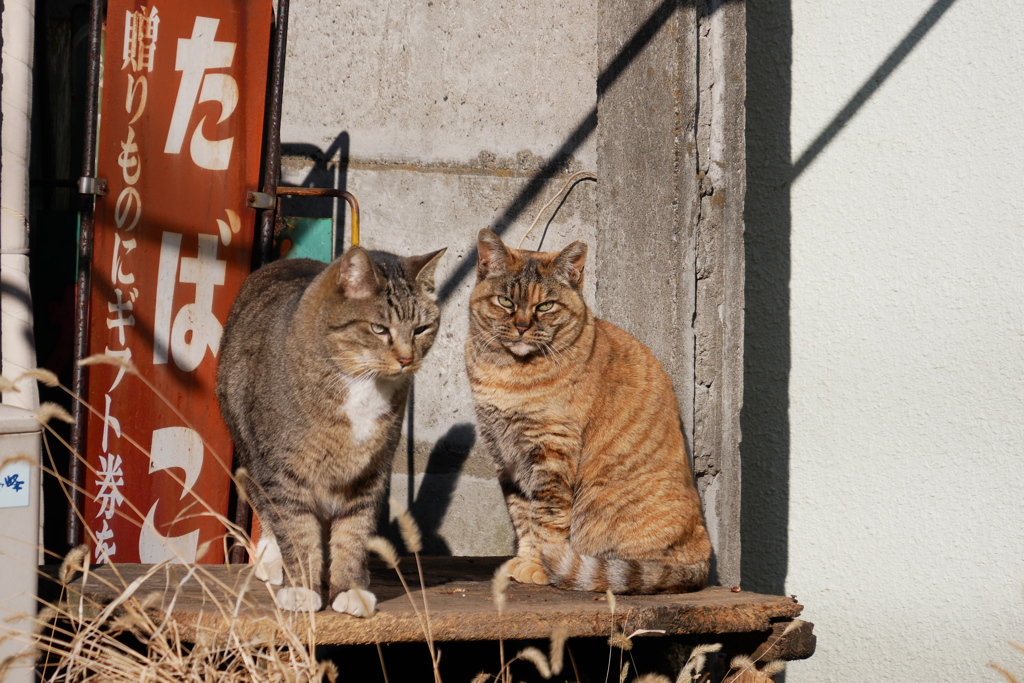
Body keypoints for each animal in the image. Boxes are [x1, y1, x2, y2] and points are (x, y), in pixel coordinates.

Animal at [218, 244, 446, 614]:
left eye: (421, 329)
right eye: (379, 329)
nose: (406, 360)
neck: (361, 382)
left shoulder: (370, 472)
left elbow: (354, 533)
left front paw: (350, 590)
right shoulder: (283, 471)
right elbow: (297, 530)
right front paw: (302, 588)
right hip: (249, 446)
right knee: (264, 503)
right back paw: (272, 560)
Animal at [466, 228, 712, 593]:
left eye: (546, 305)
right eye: (506, 302)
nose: (522, 326)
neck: (508, 372)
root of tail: (702, 564)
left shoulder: (551, 450)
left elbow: (545, 518)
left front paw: (540, 566)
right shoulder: (506, 457)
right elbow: (522, 514)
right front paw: (524, 559)